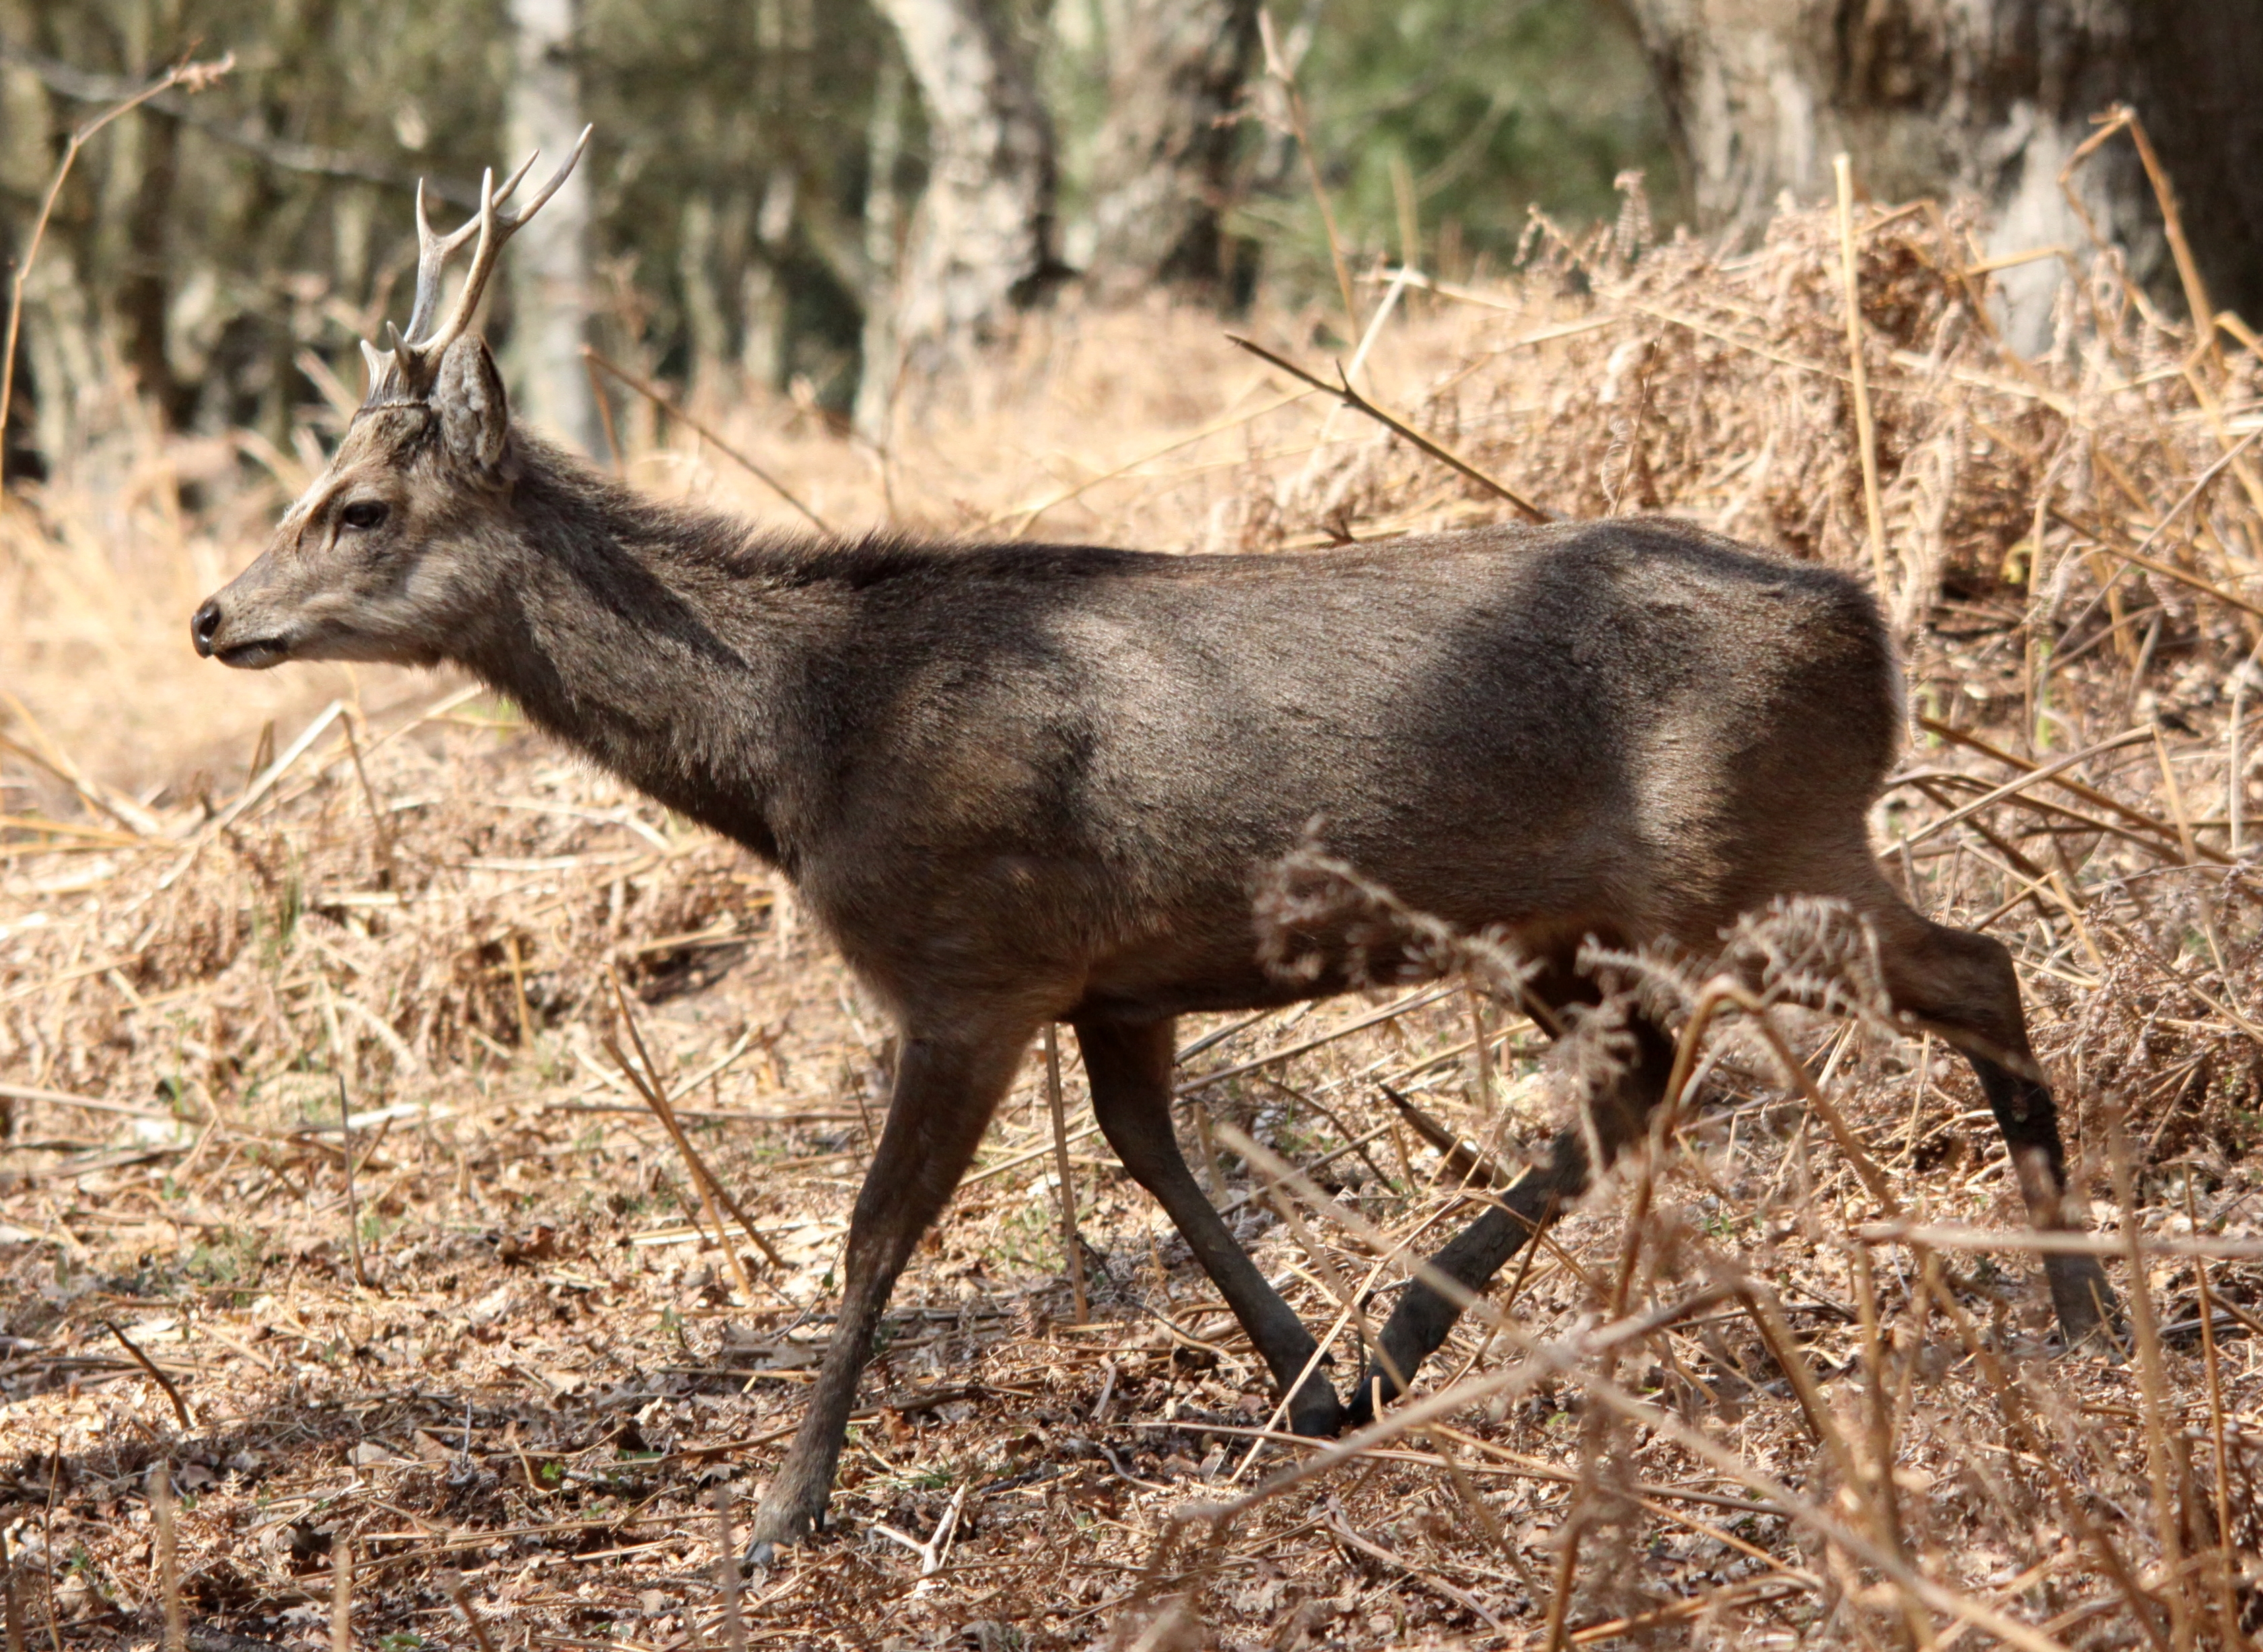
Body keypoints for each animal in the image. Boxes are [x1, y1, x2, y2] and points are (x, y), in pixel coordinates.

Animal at [190, 138, 2118, 1548]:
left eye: (357, 507)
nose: (214, 616)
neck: (813, 744)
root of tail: (1869, 631)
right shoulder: (1119, 977)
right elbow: (1154, 1159)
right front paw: (1308, 1388)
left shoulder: (968, 962)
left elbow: (874, 1235)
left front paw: (780, 1513)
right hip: (1605, 904)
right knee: (1646, 1076)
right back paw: (1417, 1335)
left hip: (1747, 849)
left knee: (1965, 965)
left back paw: (2078, 1297)